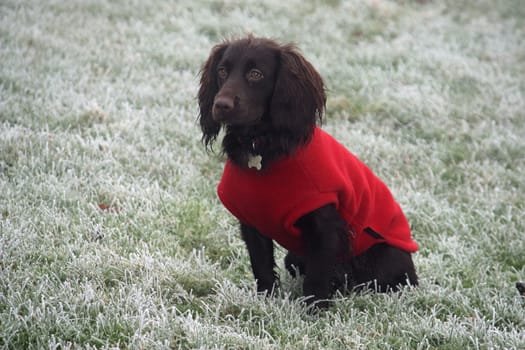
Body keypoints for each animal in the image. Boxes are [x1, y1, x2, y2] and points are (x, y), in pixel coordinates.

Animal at [196, 36, 418, 308]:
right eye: (222, 71)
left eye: (256, 74)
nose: (221, 105)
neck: (264, 149)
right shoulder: (251, 222)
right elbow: (262, 267)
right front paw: (265, 304)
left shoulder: (325, 226)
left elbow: (317, 275)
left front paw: (315, 310)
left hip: (385, 257)